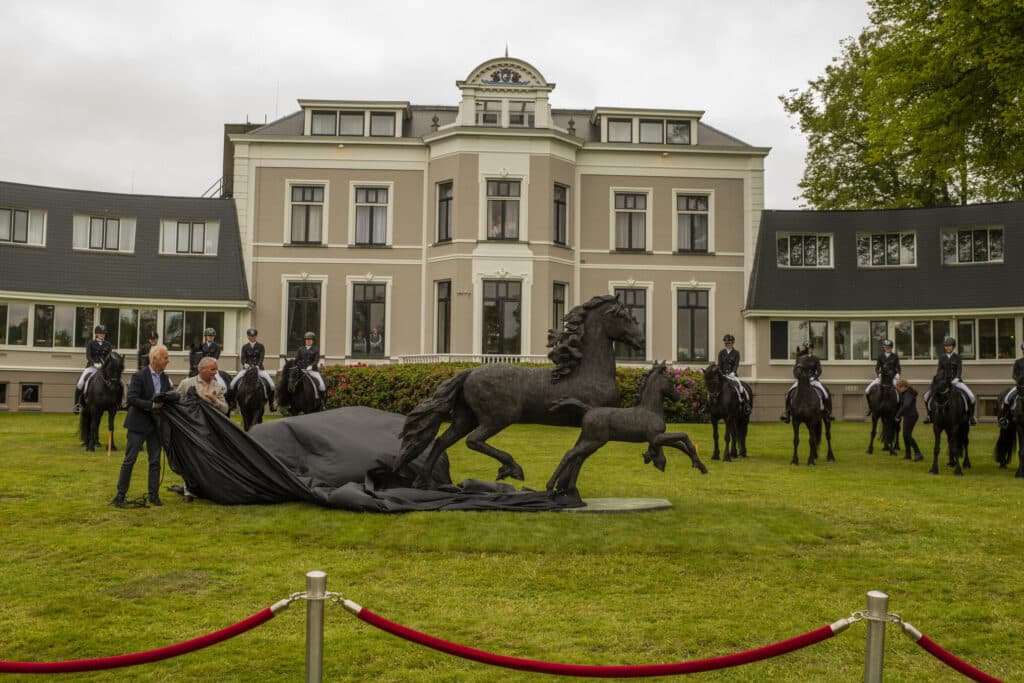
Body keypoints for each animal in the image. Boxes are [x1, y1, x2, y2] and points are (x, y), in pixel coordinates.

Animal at [397, 296, 643, 489]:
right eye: (622, 315)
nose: (640, 340)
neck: (588, 372)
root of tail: (470, 372)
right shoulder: (594, 426)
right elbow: (579, 456)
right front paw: (564, 489)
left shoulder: (589, 428)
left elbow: (576, 455)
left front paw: (563, 488)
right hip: (498, 418)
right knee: (473, 441)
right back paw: (513, 469)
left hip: (465, 419)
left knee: (441, 441)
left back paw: (426, 483)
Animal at [548, 360, 708, 499]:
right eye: (669, 380)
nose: (677, 396)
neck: (650, 409)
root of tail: (588, 409)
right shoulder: (656, 436)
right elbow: (683, 436)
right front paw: (695, 463)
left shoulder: (657, 438)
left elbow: (679, 445)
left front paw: (701, 467)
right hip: (593, 441)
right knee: (570, 454)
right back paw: (550, 488)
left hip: (590, 440)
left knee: (578, 458)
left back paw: (571, 489)